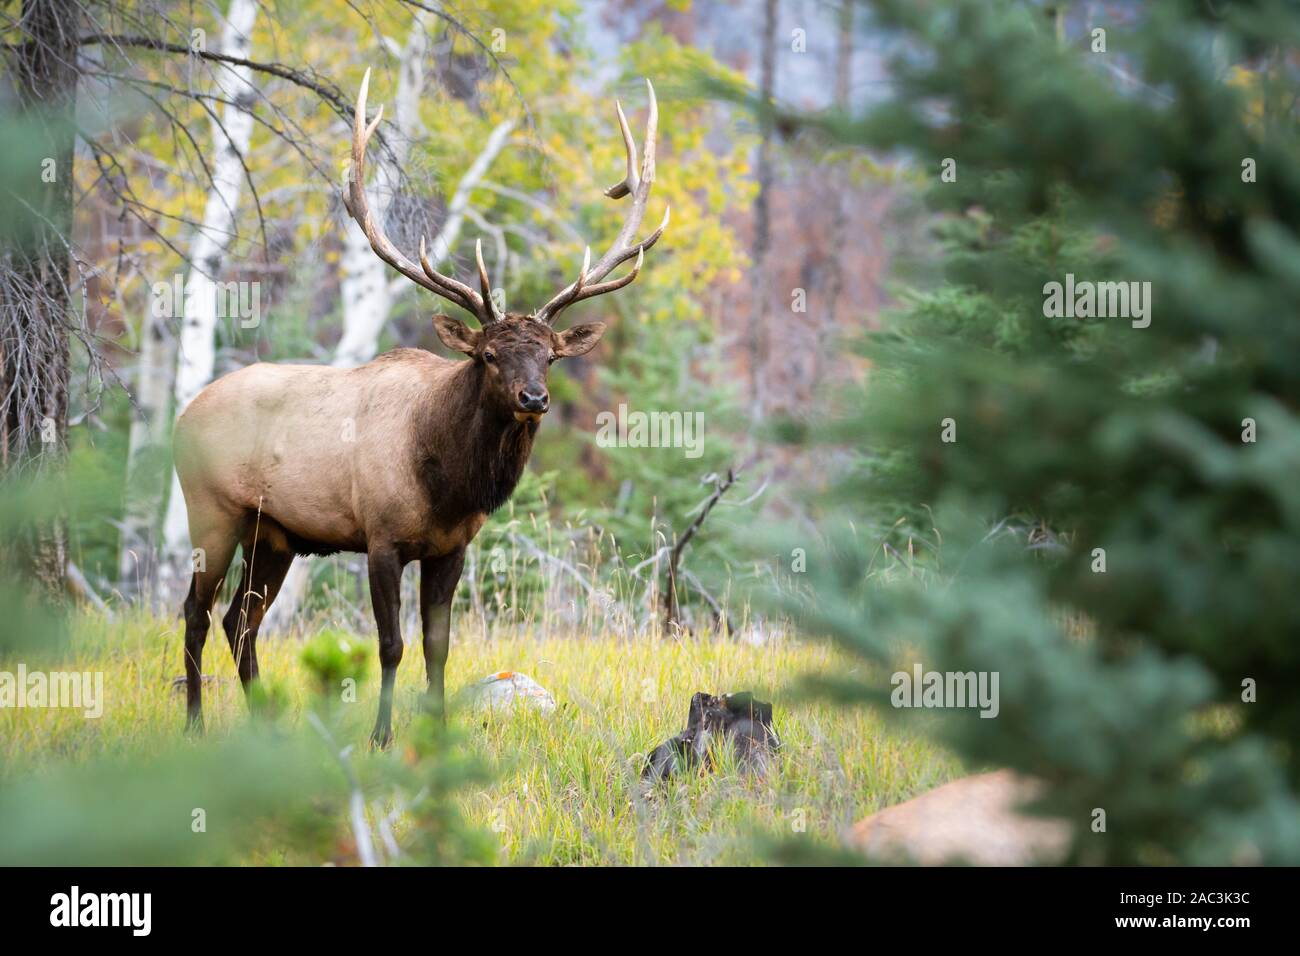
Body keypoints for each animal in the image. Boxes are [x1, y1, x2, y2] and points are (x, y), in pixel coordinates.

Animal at [172, 69, 668, 746]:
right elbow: (392, 646)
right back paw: (195, 725)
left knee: (239, 620)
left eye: (550, 357)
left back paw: (263, 724)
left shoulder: (452, 547)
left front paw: (436, 735)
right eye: (489, 355)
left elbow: (440, 647)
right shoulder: (380, 538)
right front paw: (381, 738)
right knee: (196, 612)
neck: (446, 481)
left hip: (274, 534)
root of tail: (181, 415)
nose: (534, 399)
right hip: (212, 511)